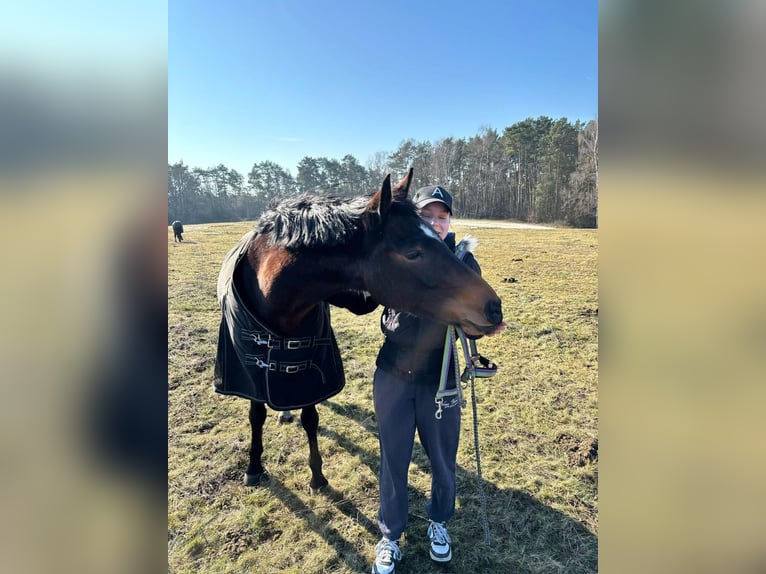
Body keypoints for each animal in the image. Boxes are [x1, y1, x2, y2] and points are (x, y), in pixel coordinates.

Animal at [213, 168, 505, 492]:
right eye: (412, 253)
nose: (494, 307)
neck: (276, 299)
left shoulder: (311, 375)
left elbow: (310, 416)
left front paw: (317, 476)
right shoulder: (250, 373)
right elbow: (257, 414)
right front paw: (254, 467)